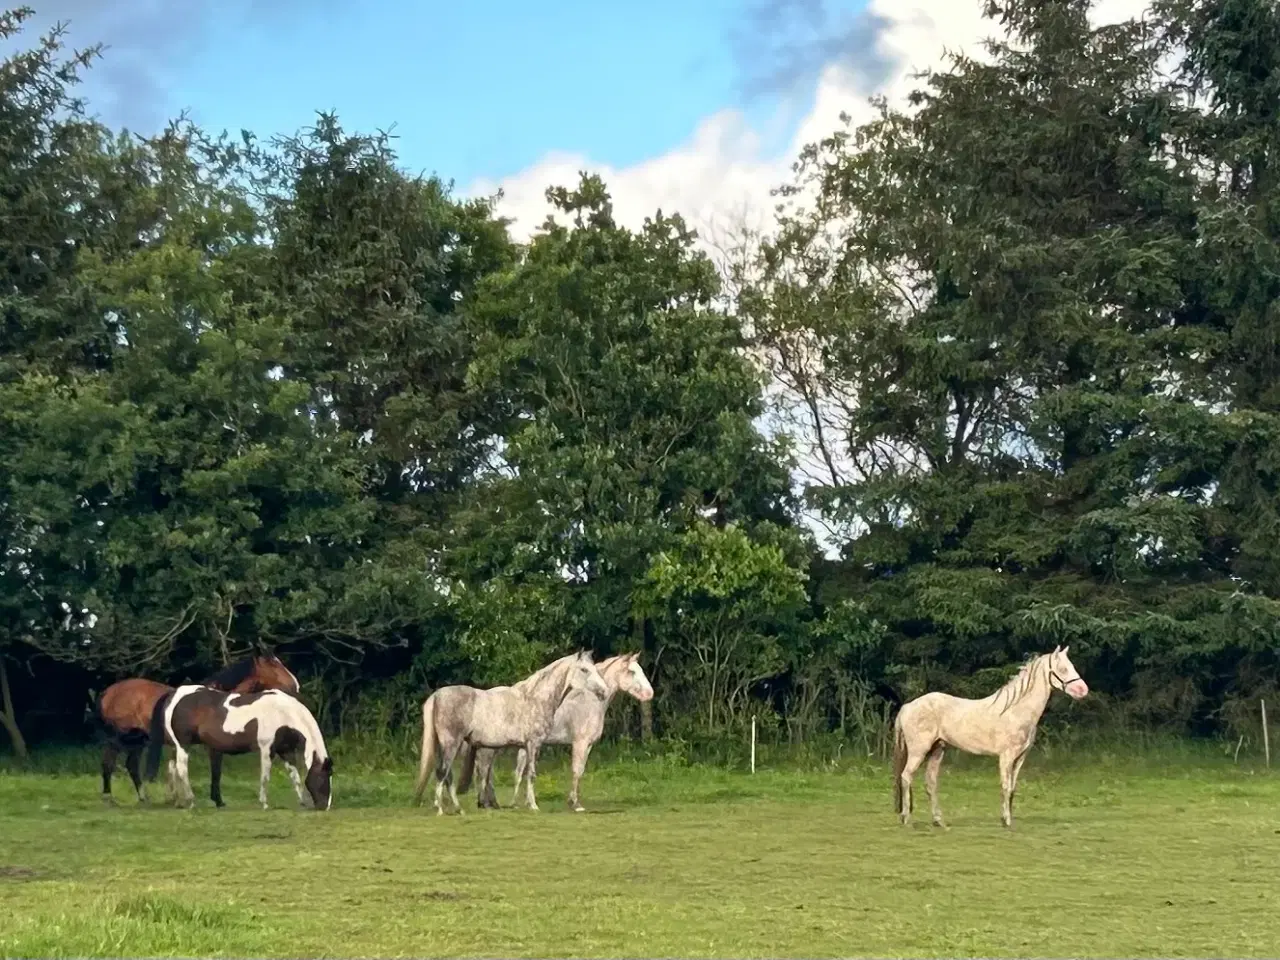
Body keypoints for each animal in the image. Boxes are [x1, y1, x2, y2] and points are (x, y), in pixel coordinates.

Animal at [94, 660, 299, 808]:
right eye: (273, 664)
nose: (295, 685)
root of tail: (108, 692)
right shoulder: (212, 746)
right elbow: (214, 771)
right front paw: (216, 800)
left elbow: (174, 770)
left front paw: (176, 799)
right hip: (121, 738)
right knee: (109, 762)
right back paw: (108, 797)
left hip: (138, 742)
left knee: (131, 765)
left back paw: (144, 797)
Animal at [142, 686, 332, 814]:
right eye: (323, 777)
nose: (325, 806)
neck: (282, 713)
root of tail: (174, 693)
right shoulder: (266, 749)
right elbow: (265, 777)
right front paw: (264, 803)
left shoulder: (285, 751)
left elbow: (295, 777)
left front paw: (302, 802)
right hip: (183, 744)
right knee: (181, 769)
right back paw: (191, 800)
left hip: (176, 746)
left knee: (172, 767)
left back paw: (177, 801)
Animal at [412, 650, 606, 814]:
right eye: (584, 670)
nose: (603, 691)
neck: (535, 699)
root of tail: (436, 696)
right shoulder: (534, 744)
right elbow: (531, 774)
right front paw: (533, 806)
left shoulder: (526, 747)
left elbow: (523, 774)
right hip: (451, 743)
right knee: (443, 772)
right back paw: (440, 809)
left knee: (448, 776)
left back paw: (459, 809)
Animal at [460, 655, 655, 814]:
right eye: (631, 671)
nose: (649, 694)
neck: (588, 701)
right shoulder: (579, 743)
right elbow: (576, 770)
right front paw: (575, 804)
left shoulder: (588, 745)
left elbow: (579, 771)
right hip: (489, 748)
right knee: (484, 771)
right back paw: (487, 803)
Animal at [890, 650, 1090, 829]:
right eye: (1062, 669)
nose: (1083, 690)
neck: (1015, 710)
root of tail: (907, 706)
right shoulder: (1006, 756)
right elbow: (1006, 786)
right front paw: (1006, 821)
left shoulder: (1020, 758)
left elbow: (1012, 788)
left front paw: (1007, 819)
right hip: (918, 751)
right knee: (906, 777)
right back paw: (907, 819)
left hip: (937, 750)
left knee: (930, 783)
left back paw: (938, 821)